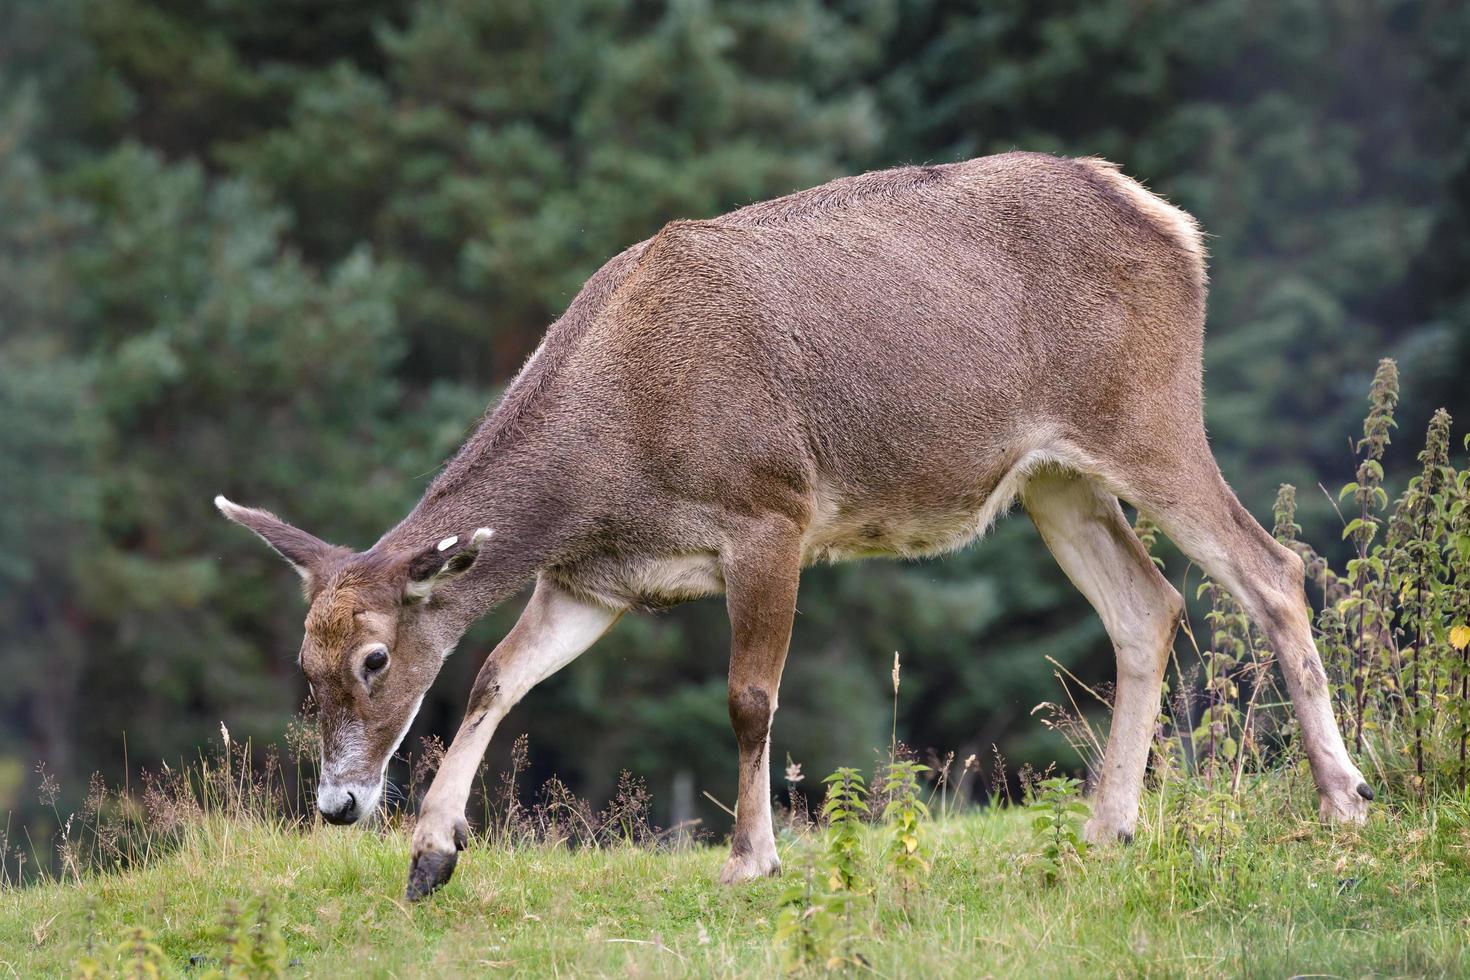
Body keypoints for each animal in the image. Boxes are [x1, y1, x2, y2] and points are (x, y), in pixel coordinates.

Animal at [214, 155, 1364, 905]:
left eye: (374, 658)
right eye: (304, 664)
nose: (338, 805)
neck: (612, 456)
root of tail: (1173, 224)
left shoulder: (770, 511)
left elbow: (749, 697)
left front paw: (751, 857)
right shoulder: (595, 577)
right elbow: (497, 675)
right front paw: (432, 854)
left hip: (1149, 414)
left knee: (1274, 565)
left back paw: (1345, 800)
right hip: (1054, 476)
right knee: (1149, 603)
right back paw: (1107, 822)